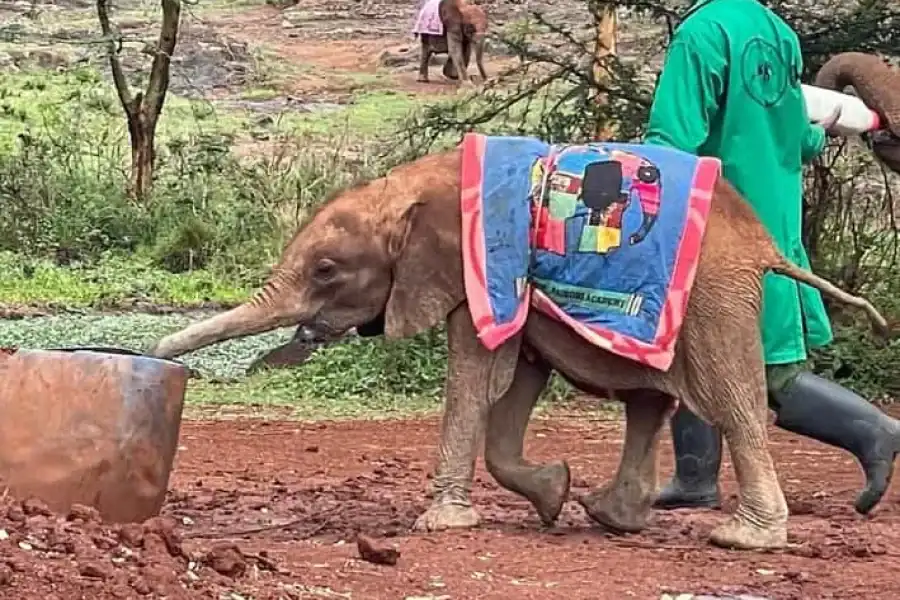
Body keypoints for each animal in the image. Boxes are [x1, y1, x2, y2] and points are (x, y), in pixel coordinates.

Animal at [149, 145, 891, 552]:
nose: (157, 349)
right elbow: (518, 380)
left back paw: (745, 537)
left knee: (731, 401)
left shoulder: (482, 263)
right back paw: (609, 515)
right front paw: (551, 494)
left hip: (710, 296)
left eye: (327, 271)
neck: (410, 186)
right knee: (650, 400)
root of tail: (768, 244)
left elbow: (476, 378)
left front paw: (442, 524)